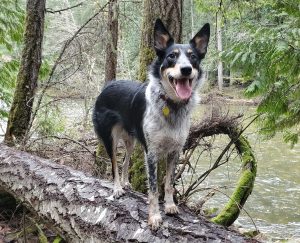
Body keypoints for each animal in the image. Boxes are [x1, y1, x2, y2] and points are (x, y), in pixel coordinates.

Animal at [92, 19, 210, 230]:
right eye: (171, 56)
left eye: (193, 57)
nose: (186, 69)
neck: (171, 105)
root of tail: (107, 86)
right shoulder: (152, 153)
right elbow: (154, 189)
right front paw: (154, 217)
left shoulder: (175, 151)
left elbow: (169, 183)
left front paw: (170, 206)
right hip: (110, 137)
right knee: (114, 164)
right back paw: (117, 188)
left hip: (131, 141)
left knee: (125, 161)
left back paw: (125, 183)